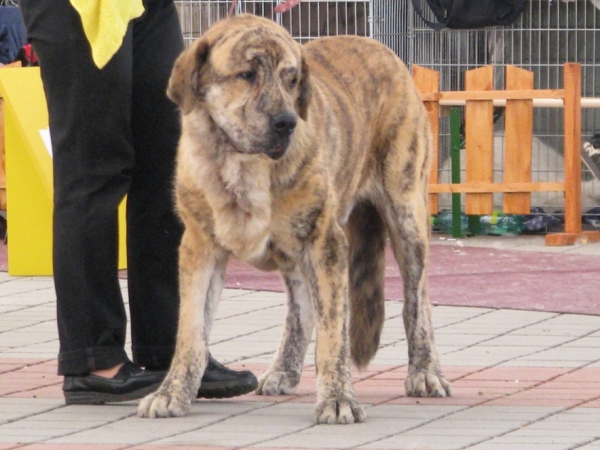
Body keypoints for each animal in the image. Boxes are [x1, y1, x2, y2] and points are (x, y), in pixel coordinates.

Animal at [138, 12, 450, 424]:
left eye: (291, 79)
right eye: (246, 75)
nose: (286, 121)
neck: (242, 164)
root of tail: (383, 48)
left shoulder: (326, 243)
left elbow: (334, 332)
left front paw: (338, 398)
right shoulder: (200, 247)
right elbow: (191, 332)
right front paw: (172, 393)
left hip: (406, 216)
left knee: (417, 301)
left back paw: (425, 372)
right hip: (294, 249)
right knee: (300, 308)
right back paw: (284, 369)